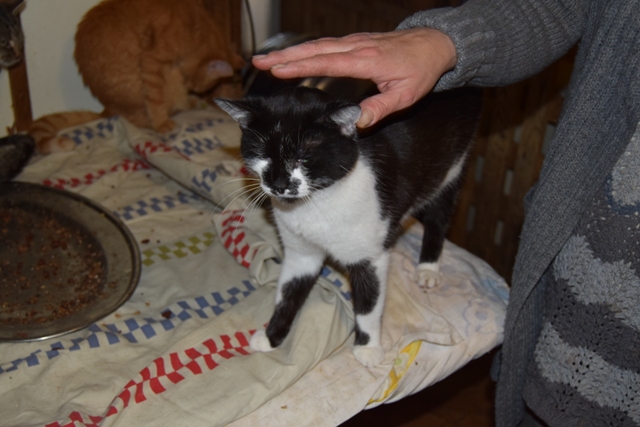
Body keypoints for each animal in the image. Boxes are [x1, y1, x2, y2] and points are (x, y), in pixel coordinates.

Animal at [29, 0, 244, 154]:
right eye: (200, 85)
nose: (193, 88)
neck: (194, 26)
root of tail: (107, 109)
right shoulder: (152, 61)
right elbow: (155, 101)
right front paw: (162, 124)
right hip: (169, 81)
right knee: (148, 116)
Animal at [215, 86, 482, 367]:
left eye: (303, 158)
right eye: (262, 155)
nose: (278, 185)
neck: (315, 205)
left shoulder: (371, 255)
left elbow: (369, 304)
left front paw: (368, 348)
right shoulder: (301, 253)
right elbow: (289, 292)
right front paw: (271, 335)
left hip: (452, 168)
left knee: (439, 215)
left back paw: (428, 268)